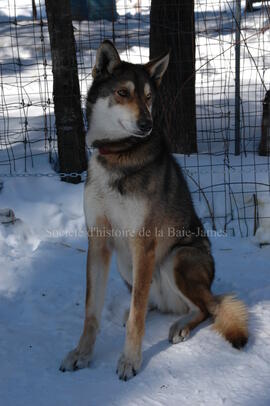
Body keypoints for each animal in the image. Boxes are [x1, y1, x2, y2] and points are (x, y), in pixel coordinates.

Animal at [59, 39, 249, 380]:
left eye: (149, 97)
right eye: (123, 93)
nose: (146, 124)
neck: (119, 154)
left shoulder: (143, 242)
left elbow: (137, 320)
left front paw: (130, 361)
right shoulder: (99, 241)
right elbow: (92, 311)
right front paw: (81, 354)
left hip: (177, 258)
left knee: (207, 308)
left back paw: (180, 326)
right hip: (126, 262)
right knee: (150, 300)